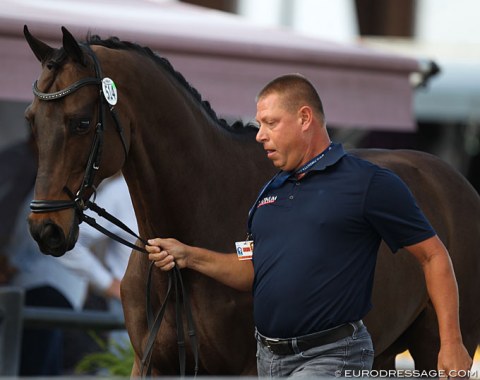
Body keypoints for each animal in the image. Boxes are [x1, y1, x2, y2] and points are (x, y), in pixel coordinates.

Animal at [23, 27, 480, 378]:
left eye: (82, 121)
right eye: (31, 119)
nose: (45, 229)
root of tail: (456, 182)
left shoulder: (246, 367)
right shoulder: (150, 363)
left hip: (434, 344)